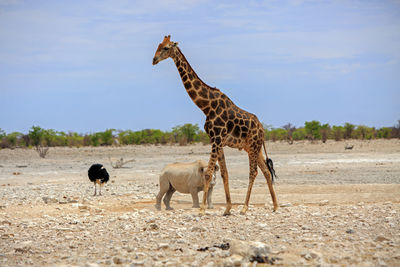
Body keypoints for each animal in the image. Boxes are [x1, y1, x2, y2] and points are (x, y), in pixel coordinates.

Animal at [153, 35, 278, 216]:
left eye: (166, 48)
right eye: (158, 46)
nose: (154, 60)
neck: (206, 105)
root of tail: (262, 129)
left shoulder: (216, 139)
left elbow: (209, 173)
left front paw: (202, 209)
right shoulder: (217, 140)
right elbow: (224, 173)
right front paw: (227, 208)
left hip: (254, 145)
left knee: (253, 172)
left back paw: (245, 207)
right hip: (253, 147)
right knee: (266, 171)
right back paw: (275, 205)